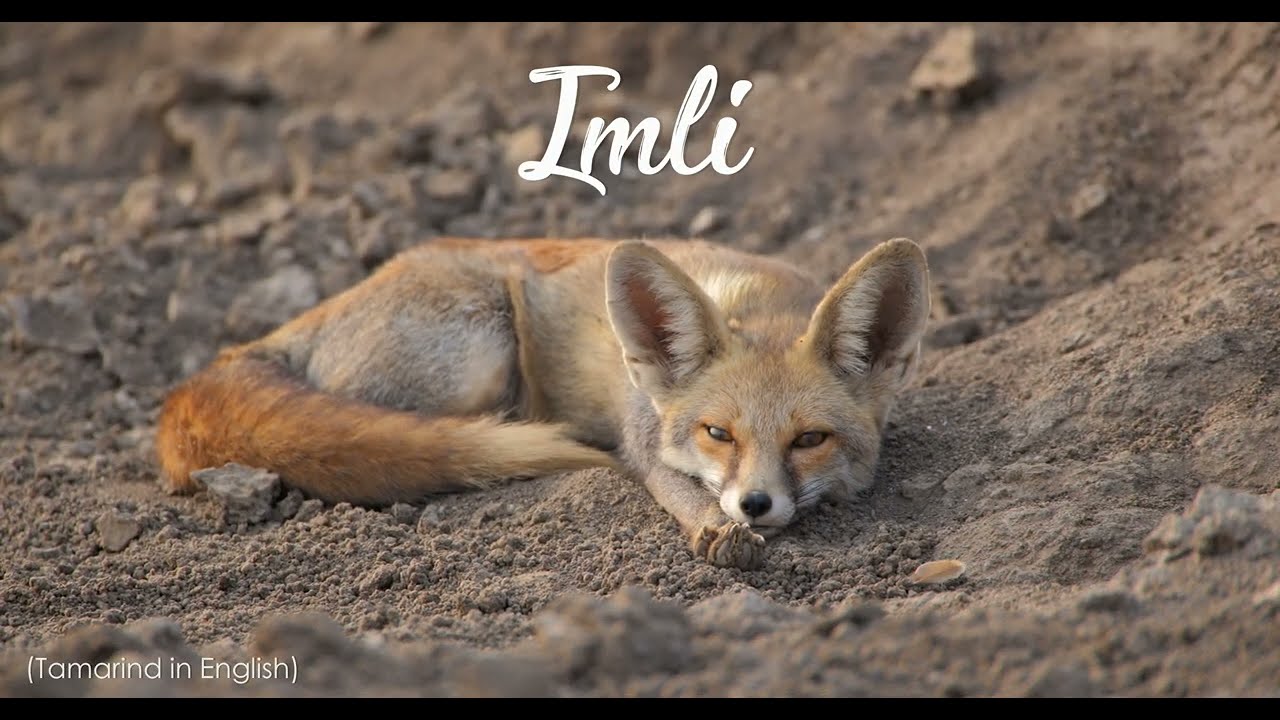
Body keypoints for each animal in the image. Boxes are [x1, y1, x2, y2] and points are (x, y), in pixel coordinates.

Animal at [157, 235, 931, 566]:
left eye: (809, 440)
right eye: (718, 433)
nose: (756, 504)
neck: (758, 301)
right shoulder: (642, 439)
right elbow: (671, 486)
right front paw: (716, 529)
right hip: (479, 351)